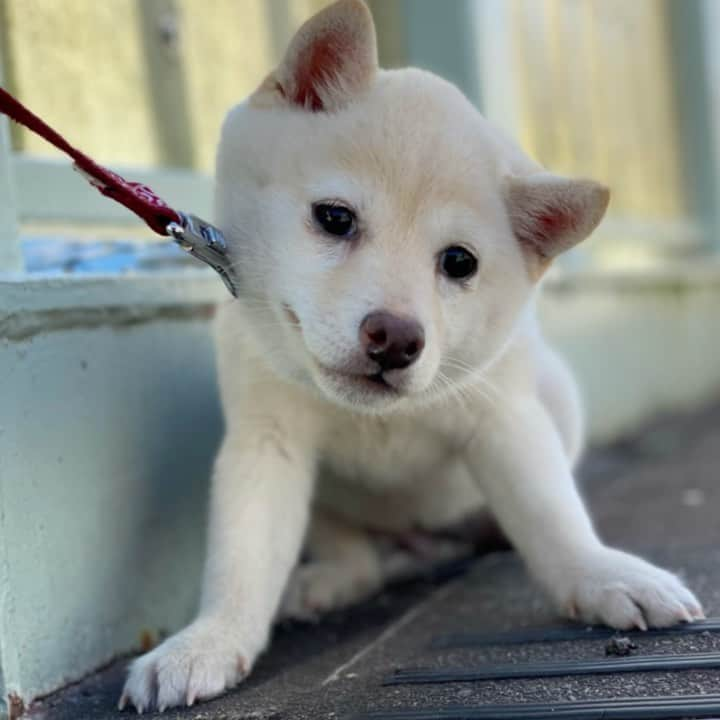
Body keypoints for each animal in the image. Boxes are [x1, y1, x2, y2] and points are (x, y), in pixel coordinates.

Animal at [119, 0, 704, 708]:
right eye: (334, 218)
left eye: (459, 263)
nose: (394, 339)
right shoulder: (266, 445)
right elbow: (242, 557)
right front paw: (210, 639)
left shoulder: (505, 421)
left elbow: (553, 516)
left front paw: (603, 575)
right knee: (363, 558)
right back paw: (333, 579)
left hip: (554, 396)